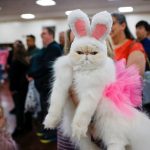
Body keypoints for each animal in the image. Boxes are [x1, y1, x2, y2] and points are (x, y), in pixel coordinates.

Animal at [43, 9, 150, 150]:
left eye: (94, 53)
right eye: (79, 53)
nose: (86, 55)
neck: (83, 72)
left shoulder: (91, 94)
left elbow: (82, 114)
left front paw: (78, 129)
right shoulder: (61, 86)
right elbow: (55, 106)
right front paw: (50, 123)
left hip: (109, 125)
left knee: (117, 142)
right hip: (90, 139)